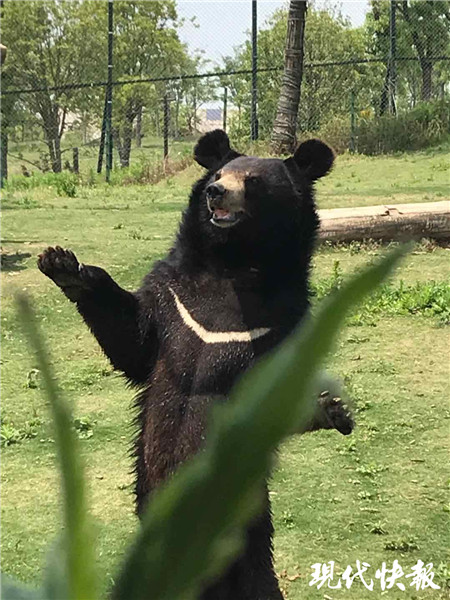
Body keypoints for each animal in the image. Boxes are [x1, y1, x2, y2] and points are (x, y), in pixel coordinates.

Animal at [38, 131, 352, 600]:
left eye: (253, 181)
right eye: (218, 173)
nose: (215, 193)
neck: (233, 264)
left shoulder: (284, 323)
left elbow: (281, 390)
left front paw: (334, 409)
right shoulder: (170, 294)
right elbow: (134, 345)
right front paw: (62, 263)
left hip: (244, 506)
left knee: (254, 561)